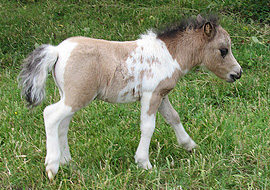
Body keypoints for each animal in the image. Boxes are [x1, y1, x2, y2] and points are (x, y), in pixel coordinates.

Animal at [19, 14, 243, 180]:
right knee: (50, 114)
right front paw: (144, 162)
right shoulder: (151, 94)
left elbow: (173, 117)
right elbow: (148, 126)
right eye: (223, 50)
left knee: (62, 124)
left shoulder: (162, 94)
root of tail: (56, 50)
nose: (237, 73)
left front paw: (190, 146)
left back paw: (67, 162)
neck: (169, 54)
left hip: (70, 96)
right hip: (77, 96)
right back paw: (52, 167)